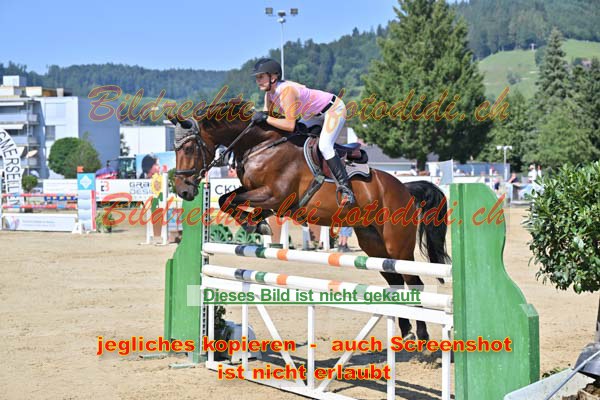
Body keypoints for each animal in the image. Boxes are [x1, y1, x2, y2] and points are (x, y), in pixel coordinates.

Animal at [173, 101, 450, 342]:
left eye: (188, 149)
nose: (182, 191)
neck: (262, 146)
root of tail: (404, 188)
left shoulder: (274, 194)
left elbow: (230, 199)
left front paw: (254, 224)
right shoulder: (265, 196)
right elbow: (226, 199)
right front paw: (256, 223)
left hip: (397, 245)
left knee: (414, 282)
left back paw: (422, 334)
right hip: (374, 244)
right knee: (395, 282)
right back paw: (407, 331)